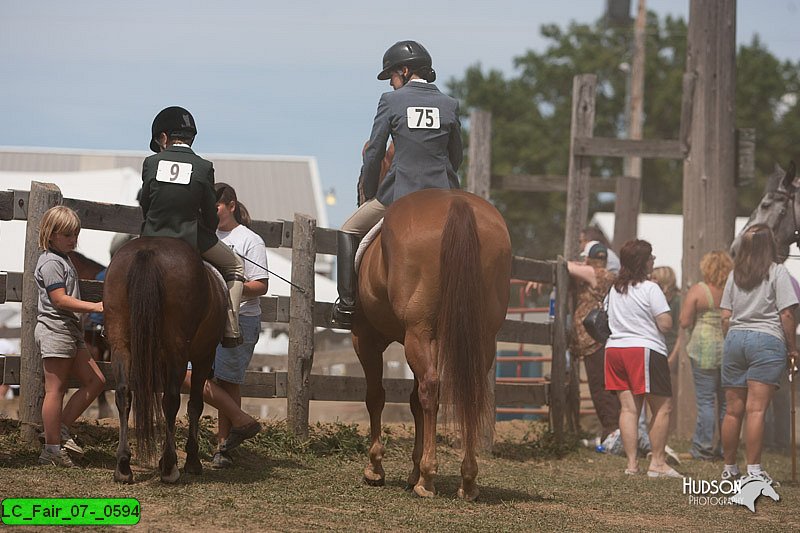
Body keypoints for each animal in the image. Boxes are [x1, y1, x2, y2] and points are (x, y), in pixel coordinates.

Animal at [101, 237, 225, 482]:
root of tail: (148, 250)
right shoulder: (203, 357)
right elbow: (195, 404)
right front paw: (192, 460)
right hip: (178, 350)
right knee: (171, 400)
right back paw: (169, 466)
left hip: (120, 343)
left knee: (123, 393)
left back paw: (123, 466)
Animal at [354, 187, 512, 498]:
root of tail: (457, 203)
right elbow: (415, 402)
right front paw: (413, 470)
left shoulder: (365, 338)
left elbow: (376, 396)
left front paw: (376, 468)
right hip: (480, 338)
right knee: (467, 392)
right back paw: (468, 481)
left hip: (418, 333)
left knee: (429, 387)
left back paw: (427, 480)